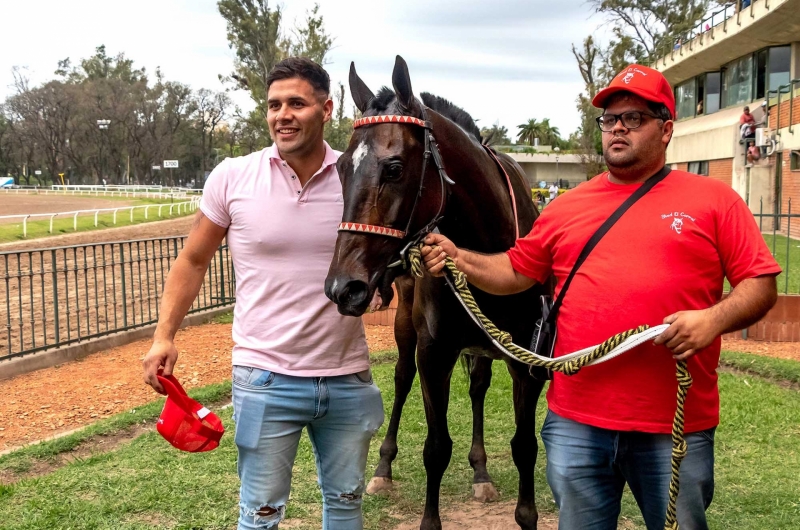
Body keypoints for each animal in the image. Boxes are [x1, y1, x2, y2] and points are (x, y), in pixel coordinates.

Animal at [324, 55, 544, 524]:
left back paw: (480, 472)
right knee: (402, 377)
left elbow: (525, 446)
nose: (342, 286)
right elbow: (436, 447)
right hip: (407, 328)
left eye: (394, 168)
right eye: (341, 168)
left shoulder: (527, 360)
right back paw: (383, 469)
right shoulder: (434, 352)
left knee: (478, 386)